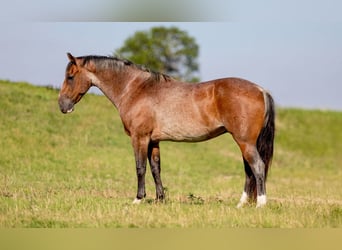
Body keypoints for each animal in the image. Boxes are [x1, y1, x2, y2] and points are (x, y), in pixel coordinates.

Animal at [56, 52, 276, 207]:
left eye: (70, 76)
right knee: (249, 170)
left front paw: (138, 199)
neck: (136, 89)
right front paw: (160, 199)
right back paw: (241, 204)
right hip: (245, 143)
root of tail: (260, 90)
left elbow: (140, 167)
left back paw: (260, 204)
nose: (62, 105)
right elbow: (155, 168)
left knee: (257, 167)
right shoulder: (153, 141)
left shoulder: (139, 138)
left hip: (245, 142)